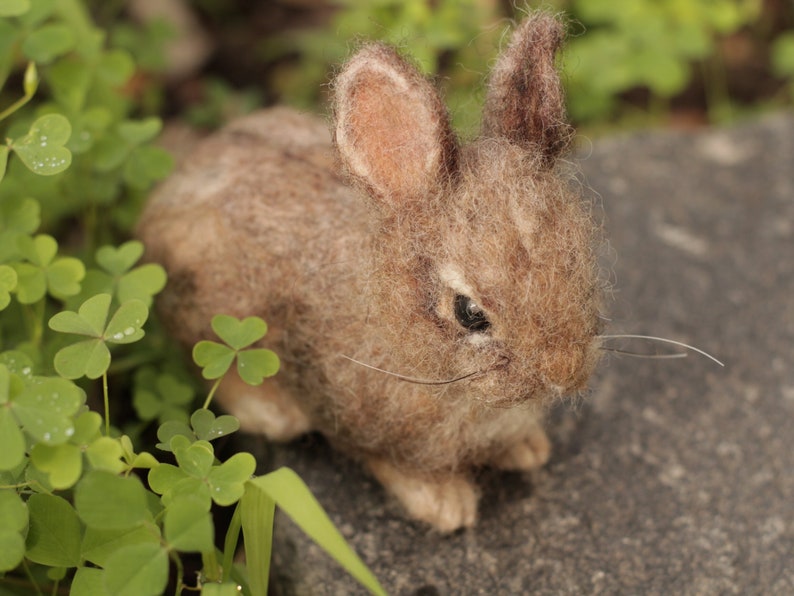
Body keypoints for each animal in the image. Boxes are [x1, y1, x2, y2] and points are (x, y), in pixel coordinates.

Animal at [139, 11, 604, 532]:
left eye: (581, 269)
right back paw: (274, 413)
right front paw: (445, 504)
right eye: (469, 313)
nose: (563, 374)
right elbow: (389, 462)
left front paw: (527, 449)